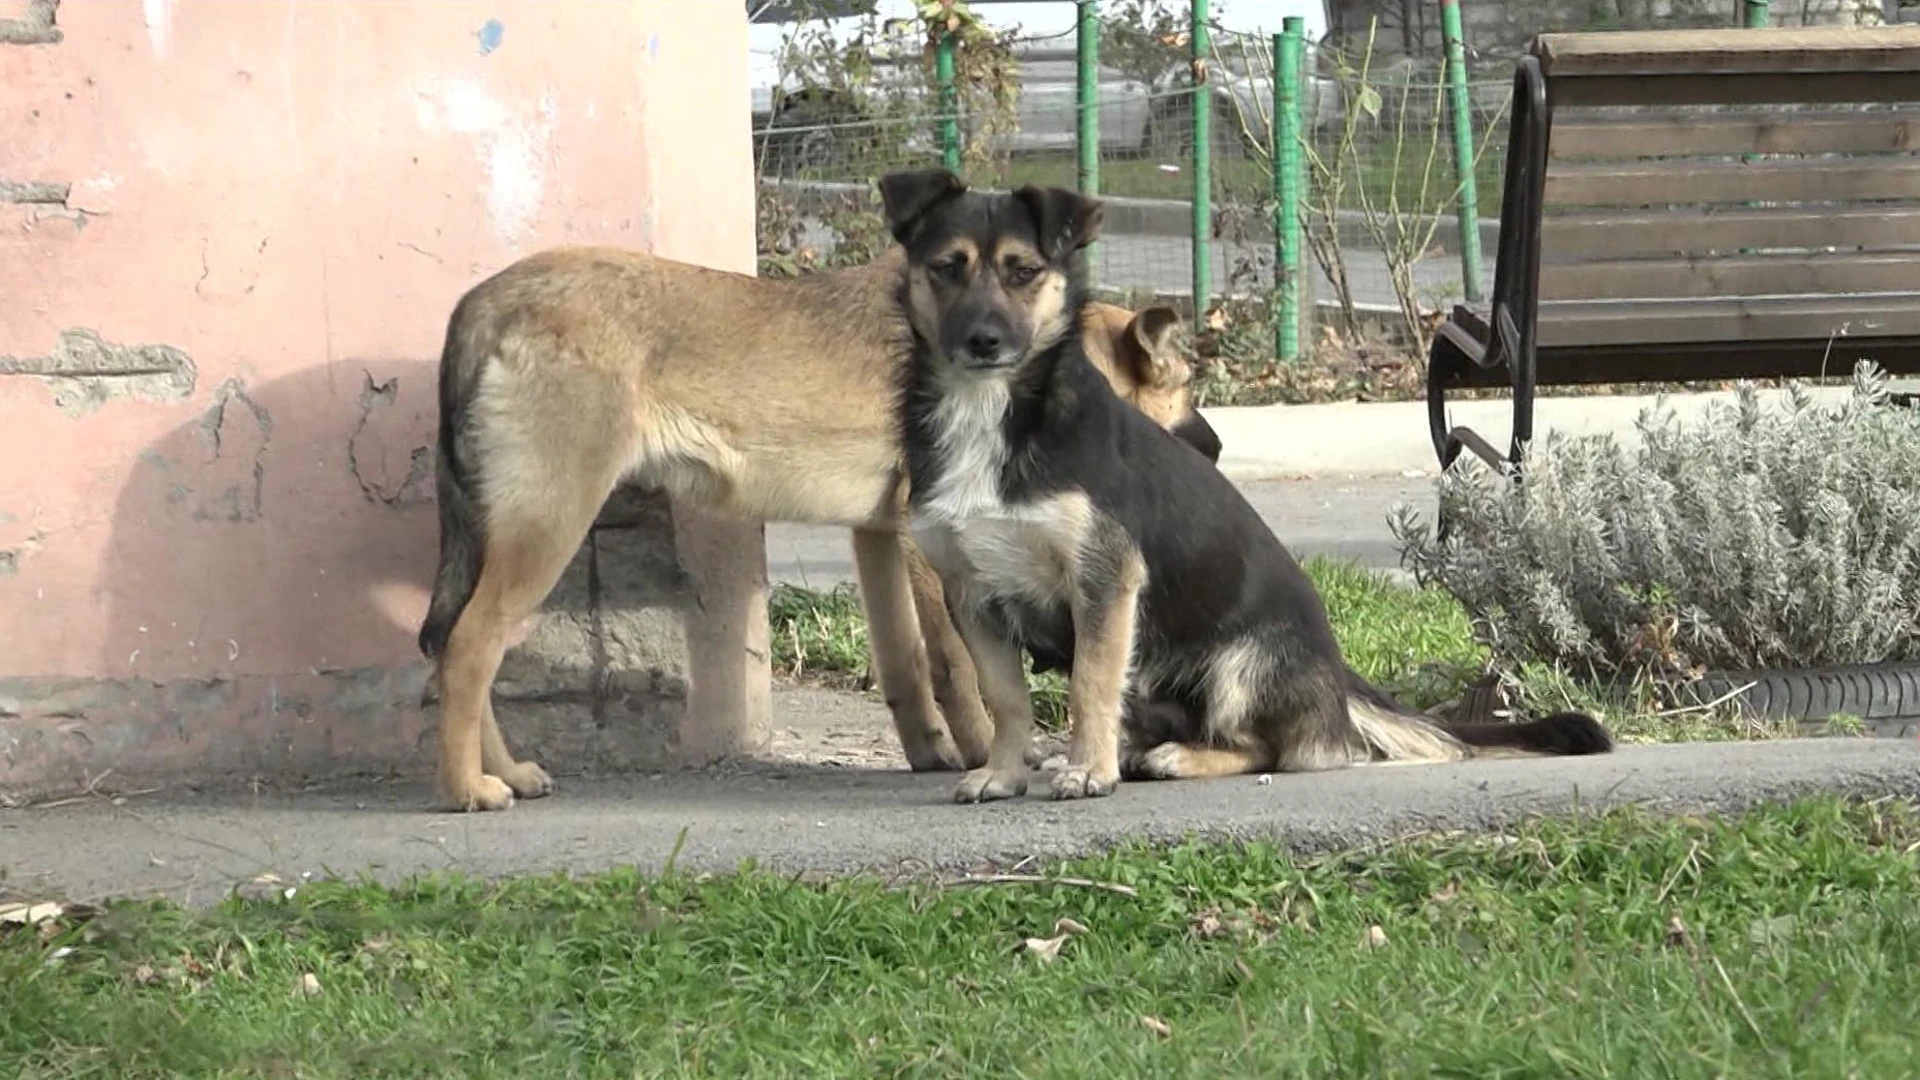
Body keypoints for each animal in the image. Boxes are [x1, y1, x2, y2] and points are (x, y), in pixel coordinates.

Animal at [414, 237, 1221, 807]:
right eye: (1183, 386)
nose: (1216, 450)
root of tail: (484, 301)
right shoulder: (927, 550)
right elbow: (958, 666)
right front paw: (990, 754)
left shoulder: (877, 539)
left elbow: (904, 663)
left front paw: (931, 752)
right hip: (548, 528)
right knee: (469, 648)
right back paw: (466, 790)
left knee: (457, 648)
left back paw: (506, 774)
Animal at [879, 168, 1612, 799]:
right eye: (946, 267)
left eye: (1024, 273)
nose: (984, 340)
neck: (992, 409)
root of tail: (1338, 682)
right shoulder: (972, 596)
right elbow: (1006, 700)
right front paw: (1003, 774)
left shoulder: (1104, 581)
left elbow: (1090, 683)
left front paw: (1088, 771)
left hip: (1238, 662)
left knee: (1270, 749)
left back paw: (1173, 758)